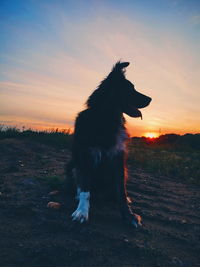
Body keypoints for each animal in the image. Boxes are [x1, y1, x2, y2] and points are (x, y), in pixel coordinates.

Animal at [67, 61, 152, 227]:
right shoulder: (86, 155)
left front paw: (129, 215)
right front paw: (82, 211)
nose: (151, 99)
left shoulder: (118, 159)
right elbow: (85, 189)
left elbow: (122, 193)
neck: (106, 118)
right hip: (72, 165)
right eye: (130, 89)